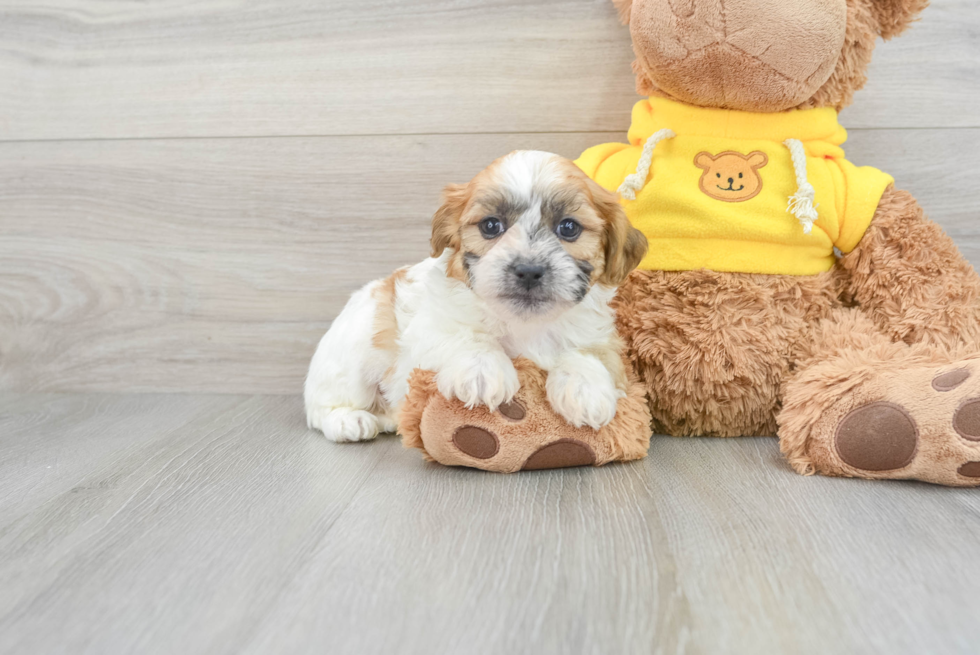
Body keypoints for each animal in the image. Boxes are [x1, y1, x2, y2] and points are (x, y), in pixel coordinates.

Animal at [302, 151, 648, 444]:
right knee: (323, 406)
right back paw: (350, 421)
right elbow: (466, 335)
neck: (525, 325)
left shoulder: (602, 337)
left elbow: (589, 353)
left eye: (569, 228)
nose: (529, 270)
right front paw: (482, 371)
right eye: (491, 225)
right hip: (353, 355)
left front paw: (585, 389)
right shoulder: (427, 331)